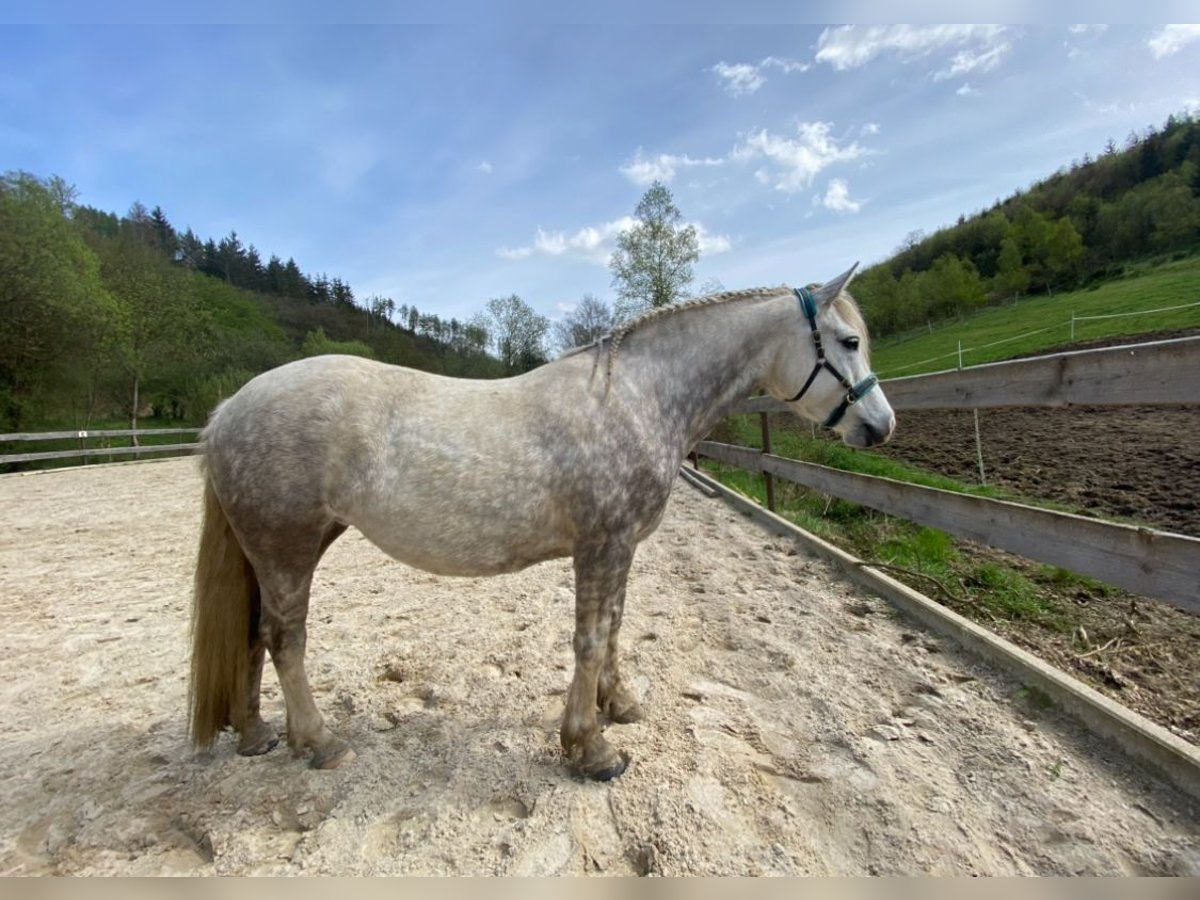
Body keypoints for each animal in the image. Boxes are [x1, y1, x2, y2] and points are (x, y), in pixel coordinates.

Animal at [192, 262, 897, 782]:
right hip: (287, 548)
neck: (634, 398)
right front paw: (590, 749)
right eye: (850, 342)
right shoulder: (601, 546)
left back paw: (257, 735)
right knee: (284, 639)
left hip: (280, 550)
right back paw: (318, 743)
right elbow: (589, 639)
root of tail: (228, 409)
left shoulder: (620, 548)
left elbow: (614, 628)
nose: (882, 427)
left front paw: (619, 706)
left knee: (253, 636)